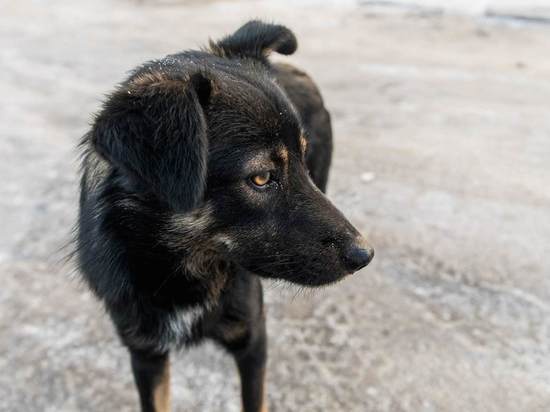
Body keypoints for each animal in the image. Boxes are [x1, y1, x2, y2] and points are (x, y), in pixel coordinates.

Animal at [76, 20, 376, 412]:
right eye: (261, 177)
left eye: (301, 161)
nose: (364, 254)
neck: (182, 265)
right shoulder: (145, 352)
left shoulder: (252, 341)